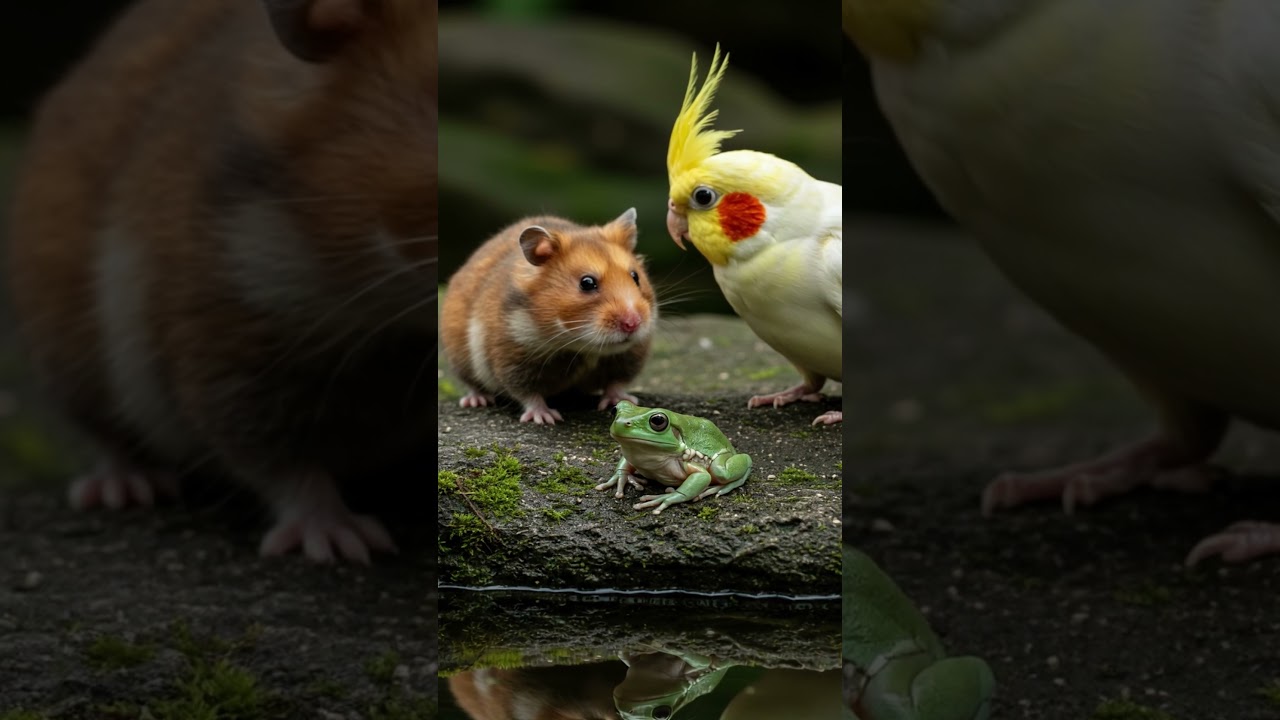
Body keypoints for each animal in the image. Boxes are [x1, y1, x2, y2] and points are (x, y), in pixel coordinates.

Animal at [6, 0, 437, 563]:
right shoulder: (228, 334)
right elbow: (280, 461)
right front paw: (346, 545)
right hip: (67, 350)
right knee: (107, 435)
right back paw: (125, 488)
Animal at [440, 208, 655, 424]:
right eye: (587, 283)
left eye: (635, 277)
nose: (633, 323)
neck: (579, 345)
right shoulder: (512, 356)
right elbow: (527, 393)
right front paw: (546, 418)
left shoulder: (628, 355)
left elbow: (616, 382)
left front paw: (623, 402)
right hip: (460, 357)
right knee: (472, 384)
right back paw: (476, 400)